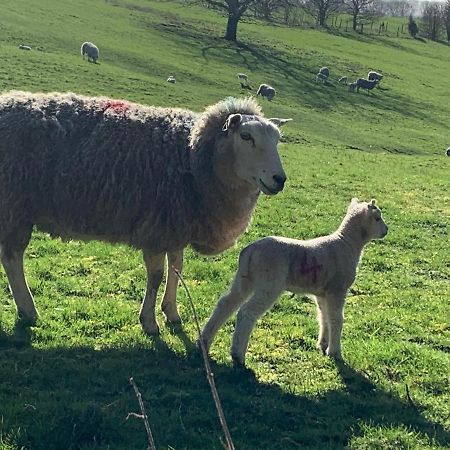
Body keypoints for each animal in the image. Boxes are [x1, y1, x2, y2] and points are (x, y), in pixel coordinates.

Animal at [0, 91, 292, 336]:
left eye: (278, 139)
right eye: (246, 136)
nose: (279, 179)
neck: (191, 155)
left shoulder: (176, 225)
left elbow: (177, 268)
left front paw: (171, 312)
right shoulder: (157, 227)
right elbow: (156, 275)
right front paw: (149, 322)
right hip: (14, 207)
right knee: (12, 258)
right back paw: (28, 310)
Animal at [200, 199, 386, 368]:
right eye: (378, 218)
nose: (387, 230)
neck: (347, 243)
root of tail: (249, 250)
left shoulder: (323, 293)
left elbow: (324, 316)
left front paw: (323, 344)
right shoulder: (337, 289)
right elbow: (336, 319)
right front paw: (334, 352)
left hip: (245, 278)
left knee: (226, 303)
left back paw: (204, 341)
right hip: (270, 284)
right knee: (246, 313)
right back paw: (238, 355)